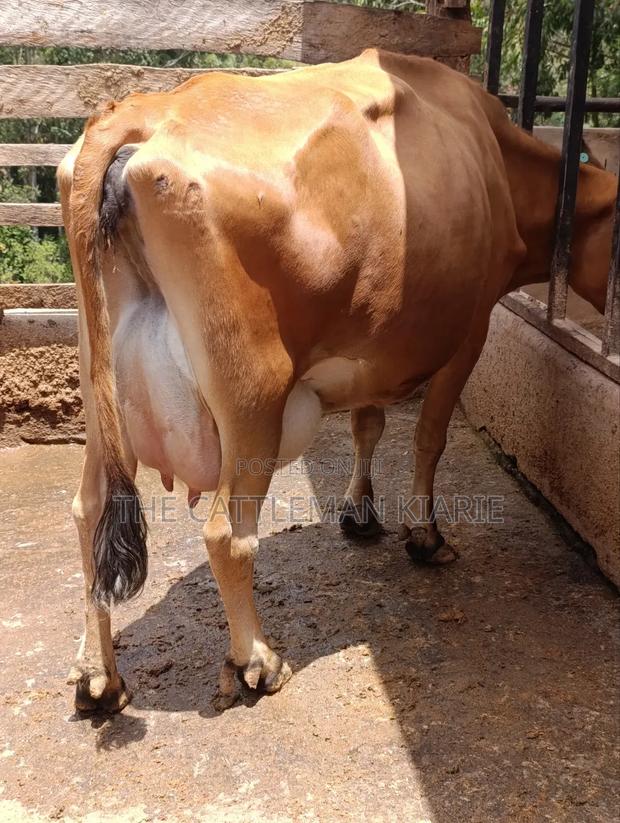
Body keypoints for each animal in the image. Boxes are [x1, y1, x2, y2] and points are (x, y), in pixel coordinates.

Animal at [57, 49, 616, 713]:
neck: (496, 158)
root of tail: (144, 111)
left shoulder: (376, 344)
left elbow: (366, 424)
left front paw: (360, 513)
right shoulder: (471, 330)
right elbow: (429, 438)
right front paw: (425, 536)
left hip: (101, 393)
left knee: (89, 513)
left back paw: (100, 676)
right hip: (253, 395)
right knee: (227, 533)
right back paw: (255, 661)